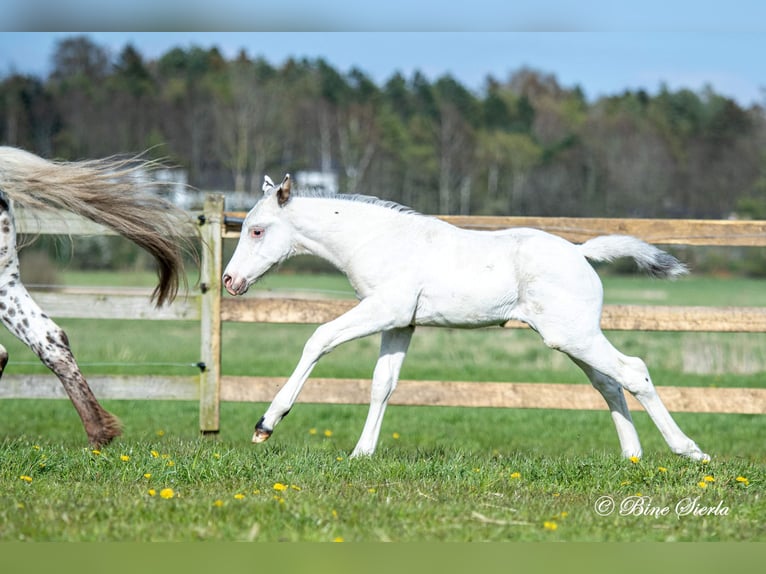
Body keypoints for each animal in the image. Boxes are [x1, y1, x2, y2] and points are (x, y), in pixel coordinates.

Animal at [223, 174, 709, 461]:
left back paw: (689, 451)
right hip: (574, 339)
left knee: (635, 372)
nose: (230, 280)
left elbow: (318, 339)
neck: (377, 240)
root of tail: (580, 252)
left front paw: (266, 424)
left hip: (574, 336)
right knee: (610, 383)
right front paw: (362, 454)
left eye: (257, 230)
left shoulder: (383, 310)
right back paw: (632, 456)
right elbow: (383, 385)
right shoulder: (401, 324)